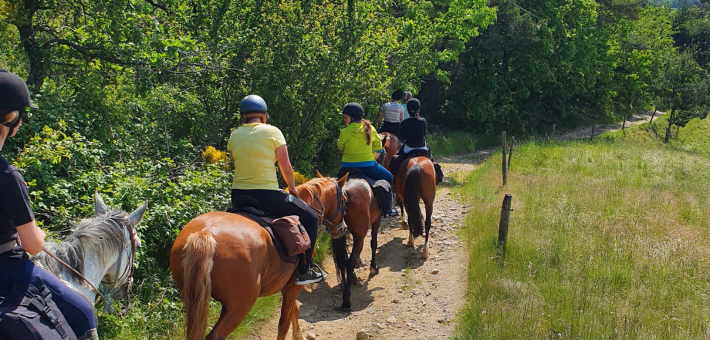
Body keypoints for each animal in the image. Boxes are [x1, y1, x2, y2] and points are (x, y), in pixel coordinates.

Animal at [173, 175, 350, 340]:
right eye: (345, 200)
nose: (343, 229)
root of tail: (205, 233)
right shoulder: (294, 285)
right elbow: (284, 322)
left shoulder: (286, 285)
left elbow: (294, 311)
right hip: (239, 306)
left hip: (193, 300)